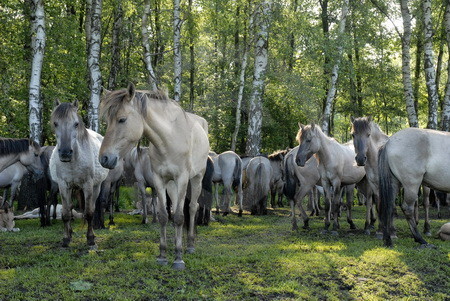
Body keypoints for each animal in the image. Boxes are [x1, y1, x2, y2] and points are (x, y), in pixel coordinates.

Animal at [49, 99, 109, 247]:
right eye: (55, 123)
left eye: (76, 124)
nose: (65, 153)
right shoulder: (63, 185)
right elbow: (65, 213)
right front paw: (66, 239)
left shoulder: (88, 185)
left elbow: (89, 213)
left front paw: (90, 239)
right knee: (70, 208)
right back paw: (70, 233)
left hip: (96, 187)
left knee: (92, 207)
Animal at [99, 83, 208, 268]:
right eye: (107, 121)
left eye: (122, 119)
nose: (104, 158)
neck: (168, 139)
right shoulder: (160, 180)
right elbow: (164, 215)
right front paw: (163, 255)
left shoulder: (182, 178)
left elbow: (179, 217)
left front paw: (178, 259)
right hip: (171, 185)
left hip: (196, 178)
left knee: (193, 207)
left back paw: (190, 245)